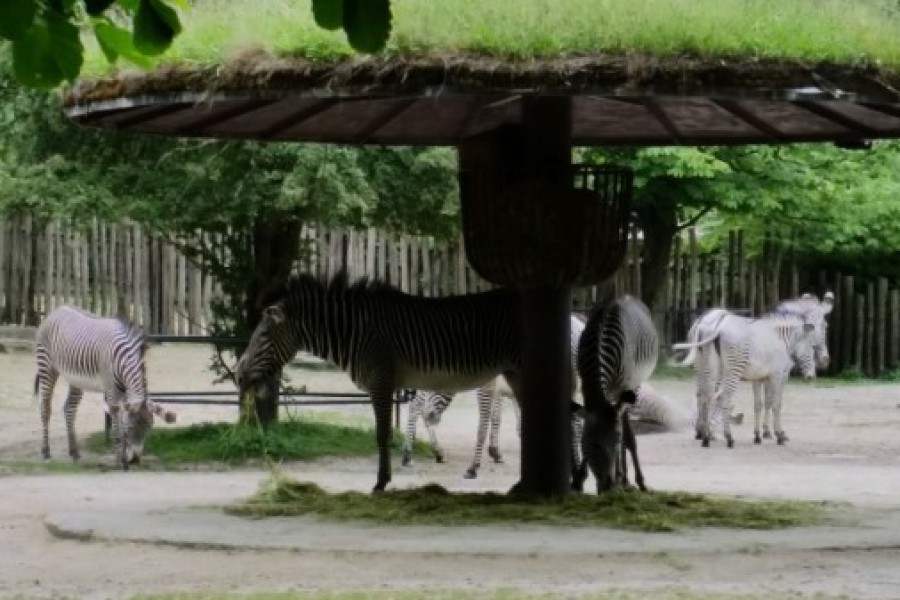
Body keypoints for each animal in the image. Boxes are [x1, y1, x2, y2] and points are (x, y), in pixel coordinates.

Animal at [33, 304, 175, 468]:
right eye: (131, 428)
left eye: (149, 429)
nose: (135, 460)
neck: (122, 359)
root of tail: (58, 309)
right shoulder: (112, 389)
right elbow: (117, 428)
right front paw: (120, 462)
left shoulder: (124, 391)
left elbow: (120, 422)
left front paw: (123, 459)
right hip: (46, 366)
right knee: (45, 409)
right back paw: (46, 453)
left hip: (76, 378)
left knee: (69, 408)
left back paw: (74, 453)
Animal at [236, 272, 552, 492]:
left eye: (263, 336)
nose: (239, 375)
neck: (357, 331)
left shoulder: (381, 382)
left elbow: (382, 434)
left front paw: (381, 483)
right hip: (514, 373)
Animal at [572, 296, 656, 492]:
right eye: (594, 445)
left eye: (615, 444)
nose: (607, 487)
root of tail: (627, 297)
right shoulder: (586, 387)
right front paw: (579, 478)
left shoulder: (623, 390)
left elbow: (625, 438)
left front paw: (622, 479)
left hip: (633, 386)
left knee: (627, 435)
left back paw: (630, 480)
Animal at [672, 304, 828, 450]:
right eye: (813, 346)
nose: (811, 377)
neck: (783, 341)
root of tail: (716, 325)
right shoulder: (778, 376)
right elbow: (776, 404)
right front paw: (778, 435)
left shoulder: (758, 378)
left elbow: (759, 405)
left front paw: (758, 436)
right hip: (732, 369)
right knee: (723, 399)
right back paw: (728, 438)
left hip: (706, 367)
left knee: (705, 397)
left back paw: (704, 436)